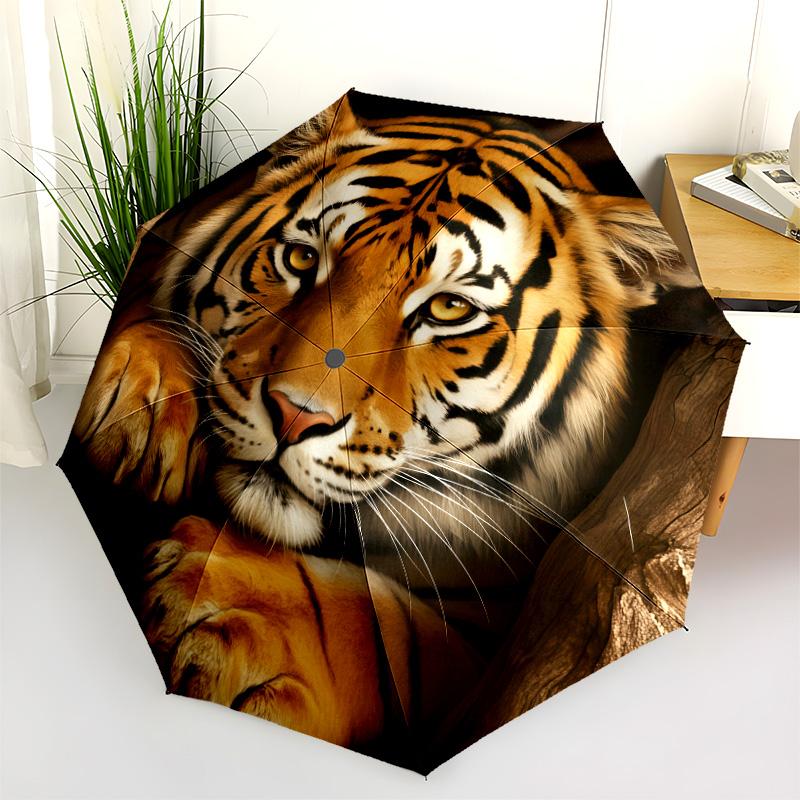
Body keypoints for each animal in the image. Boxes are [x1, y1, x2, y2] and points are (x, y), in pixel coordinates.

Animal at [69, 90, 701, 768]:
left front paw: (230, 607)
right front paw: (141, 400)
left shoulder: (496, 635)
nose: (295, 415)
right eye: (302, 258)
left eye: (448, 309)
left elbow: (396, 633)